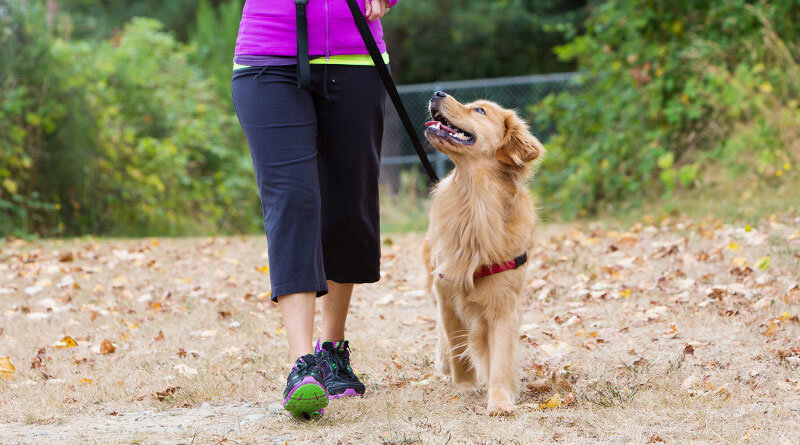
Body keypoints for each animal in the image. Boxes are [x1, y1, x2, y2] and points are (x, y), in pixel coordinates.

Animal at [418, 92, 544, 414]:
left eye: (479, 110)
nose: (437, 93)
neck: (475, 202)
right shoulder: (447, 291)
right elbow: (457, 344)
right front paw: (464, 385)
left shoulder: (503, 302)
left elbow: (501, 356)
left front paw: (499, 400)